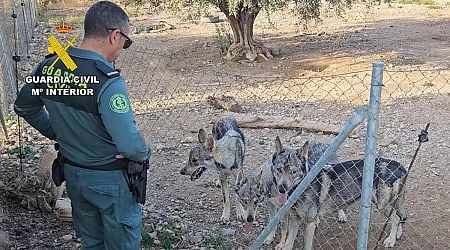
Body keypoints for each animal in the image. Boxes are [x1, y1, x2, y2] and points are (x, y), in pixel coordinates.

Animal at [270, 138, 408, 249]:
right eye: (279, 169)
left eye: (293, 172)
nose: (282, 189)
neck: (301, 186)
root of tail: (400, 166)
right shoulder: (295, 220)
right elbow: (288, 244)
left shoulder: (310, 223)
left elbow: (306, 246)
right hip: (384, 202)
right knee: (401, 216)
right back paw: (397, 234)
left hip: (381, 205)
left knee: (396, 218)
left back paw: (391, 240)